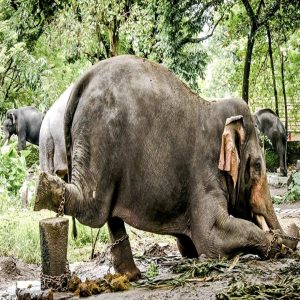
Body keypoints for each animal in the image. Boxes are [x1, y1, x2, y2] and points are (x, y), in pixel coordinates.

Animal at [34, 55, 298, 282]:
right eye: (258, 166)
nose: (288, 238)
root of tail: (82, 81)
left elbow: (189, 245)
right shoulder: (204, 170)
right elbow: (211, 237)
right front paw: (277, 247)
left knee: (109, 211)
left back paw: (131, 276)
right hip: (99, 135)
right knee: (91, 206)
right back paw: (43, 189)